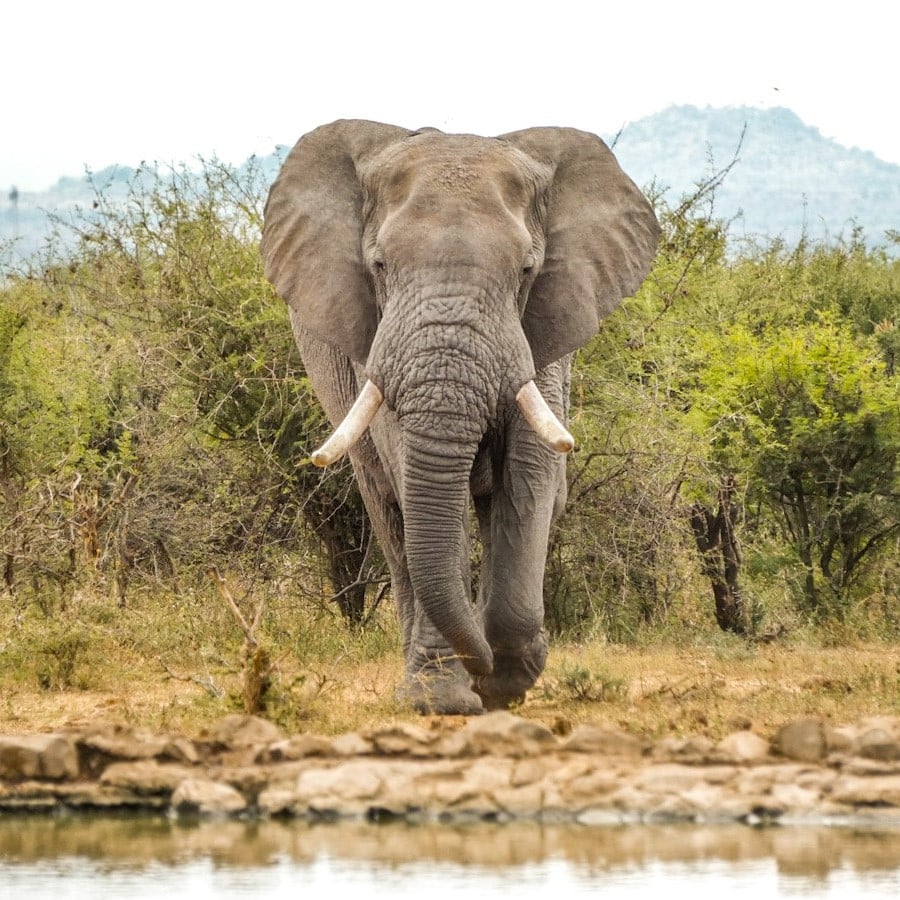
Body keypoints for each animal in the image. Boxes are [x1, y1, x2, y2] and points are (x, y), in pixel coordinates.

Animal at [262, 119, 660, 712]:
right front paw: (452, 696)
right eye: (379, 266)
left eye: (526, 270)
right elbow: (411, 470)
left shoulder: (544, 329)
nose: (483, 666)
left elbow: (529, 470)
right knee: (391, 515)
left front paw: (506, 680)